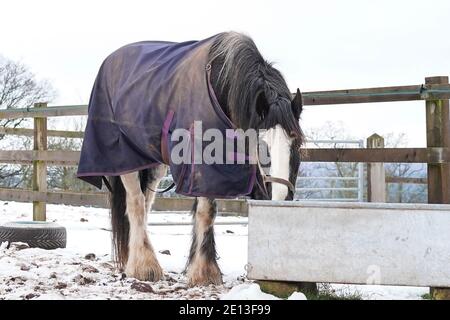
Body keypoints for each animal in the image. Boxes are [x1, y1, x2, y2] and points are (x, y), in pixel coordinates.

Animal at [77, 31, 304, 286]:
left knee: (146, 203)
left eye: (297, 144)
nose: (280, 199)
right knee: (135, 203)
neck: (221, 87)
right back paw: (144, 266)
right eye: (261, 145)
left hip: (154, 161)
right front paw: (205, 272)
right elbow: (207, 211)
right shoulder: (203, 162)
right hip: (125, 156)